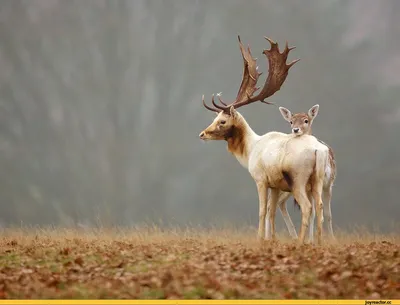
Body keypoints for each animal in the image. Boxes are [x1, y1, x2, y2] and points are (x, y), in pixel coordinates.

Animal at [199, 35, 328, 245]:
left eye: (222, 121)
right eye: (215, 118)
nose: (202, 134)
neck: (250, 150)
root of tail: (319, 150)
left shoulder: (260, 179)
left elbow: (261, 211)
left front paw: (260, 238)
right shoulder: (275, 184)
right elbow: (271, 211)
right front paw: (271, 239)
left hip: (298, 179)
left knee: (308, 207)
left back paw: (300, 242)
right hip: (317, 179)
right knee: (320, 206)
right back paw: (317, 242)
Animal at [264, 104, 336, 240]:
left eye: (306, 120)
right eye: (291, 121)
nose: (295, 130)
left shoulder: (328, 184)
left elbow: (326, 213)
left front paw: (328, 239)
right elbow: (314, 212)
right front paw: (312, 240)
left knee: (278, 203)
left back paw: (292, 236)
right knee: (272, 204)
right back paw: (269, 238)